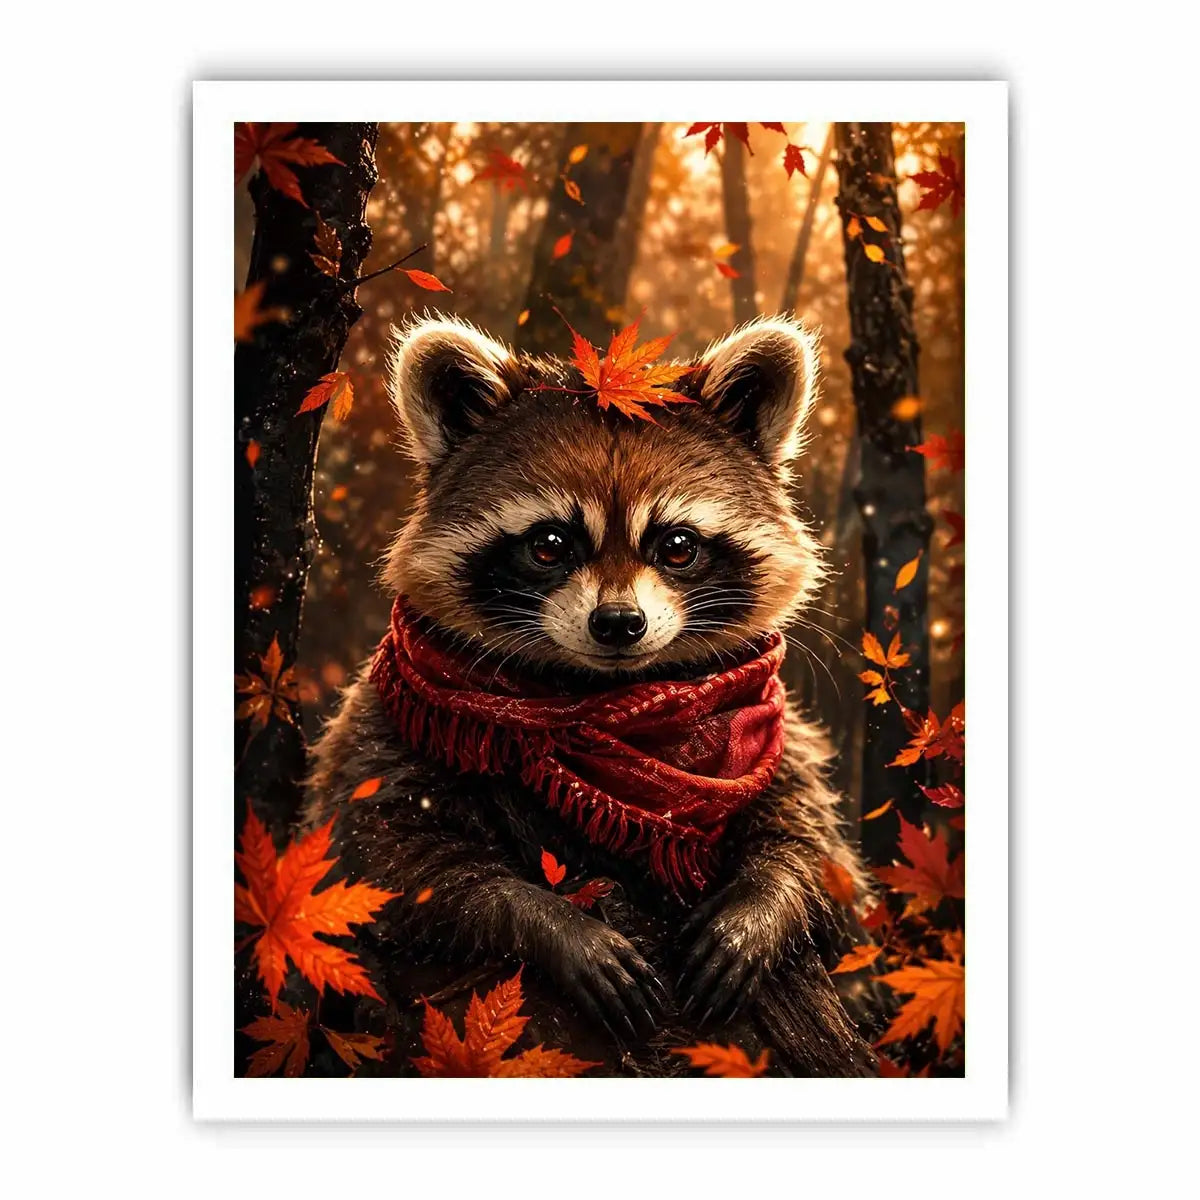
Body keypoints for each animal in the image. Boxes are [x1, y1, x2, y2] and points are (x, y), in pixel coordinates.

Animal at [305, 313, 878, 1076]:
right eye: (550, 544)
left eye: (677, 546)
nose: (618, 623)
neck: (609, 702)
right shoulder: (387, 724)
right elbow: (378, 856)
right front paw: (546, 922)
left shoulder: (772, 737)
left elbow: (818, 853)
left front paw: (764, 903)